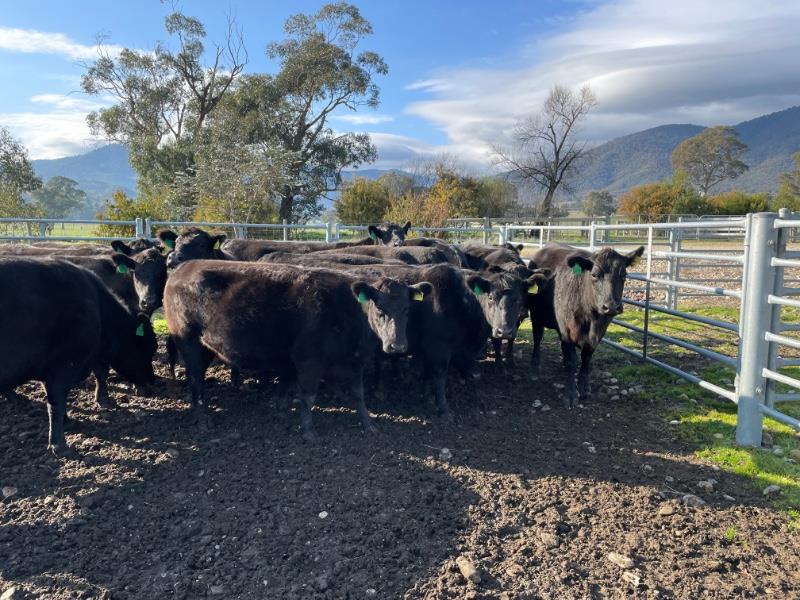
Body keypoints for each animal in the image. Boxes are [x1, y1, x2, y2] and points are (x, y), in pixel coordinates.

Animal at [0, 257, 157, 454]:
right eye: (148, 348)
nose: (152, 381)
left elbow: (100, 374)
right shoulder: (63, 366)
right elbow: (56, 402)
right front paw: (59, 444)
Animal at [163, 261, 431, 439]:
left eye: (407, 309)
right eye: (379, 309)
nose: (397, 346)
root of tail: (183, 267)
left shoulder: (355, 361)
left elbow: (359, 394)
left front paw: (368, 424)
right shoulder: (309, 360)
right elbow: (308, 396)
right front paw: (308, 430)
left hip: (205, 346)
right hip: (188, 341)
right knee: (195, 380)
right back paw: (202, 420)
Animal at [528, 243, 644, 407]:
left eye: (624, 275)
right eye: (594, 275)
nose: (611, 306)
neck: (591, 319)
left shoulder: (598, 334)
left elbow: (586, 359)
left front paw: (583, 387)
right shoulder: (567, 331)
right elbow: (573, 360)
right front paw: (570, 394)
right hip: (536, 316)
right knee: (537, 339)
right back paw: (534, 367)